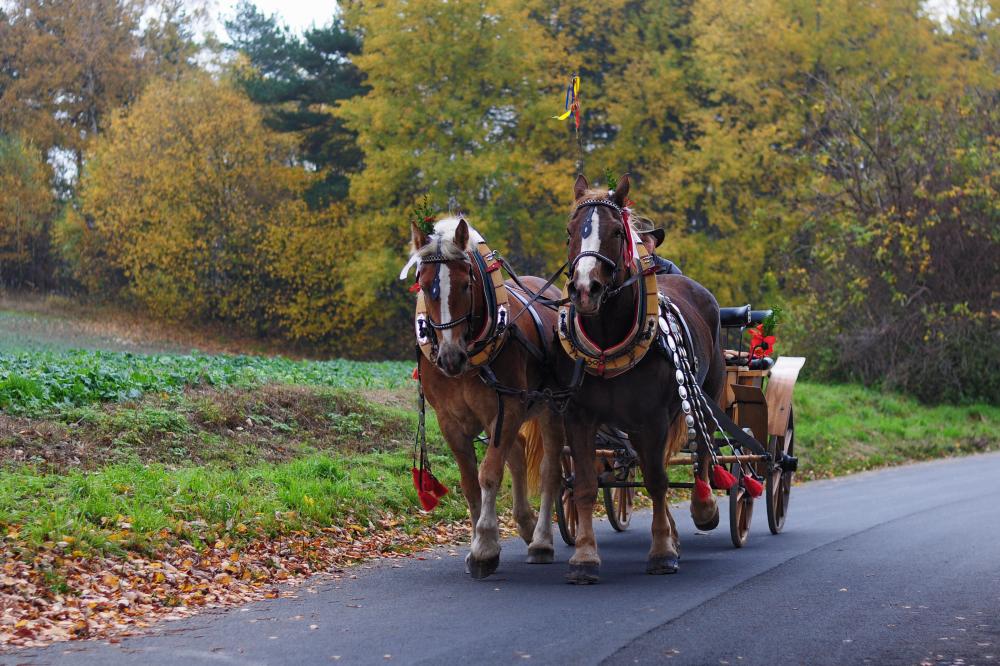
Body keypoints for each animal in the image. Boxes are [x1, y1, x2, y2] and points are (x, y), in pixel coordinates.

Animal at [404, 214, 564, 576]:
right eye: (424, 284)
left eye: (466, 284)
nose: (450, 357)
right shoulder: (449, 420)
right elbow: (469, 482)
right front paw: (478, 539)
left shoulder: (506, 410)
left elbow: (489, 474)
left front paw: (485, 547)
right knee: (517, 453)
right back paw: (525, 523)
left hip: (550, 407)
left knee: (549, 470)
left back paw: (542, 540)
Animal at [556, 172, 728, 580]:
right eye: (570, 230)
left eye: (617, 231)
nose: (585, 289)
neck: (608, 343)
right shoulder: (579, 418)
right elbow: (584, 485)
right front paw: (584, 557)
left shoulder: (652, 418)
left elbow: (657, 480)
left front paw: (662, 551)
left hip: (704, 393)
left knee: (699, 452)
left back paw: (703, 507)